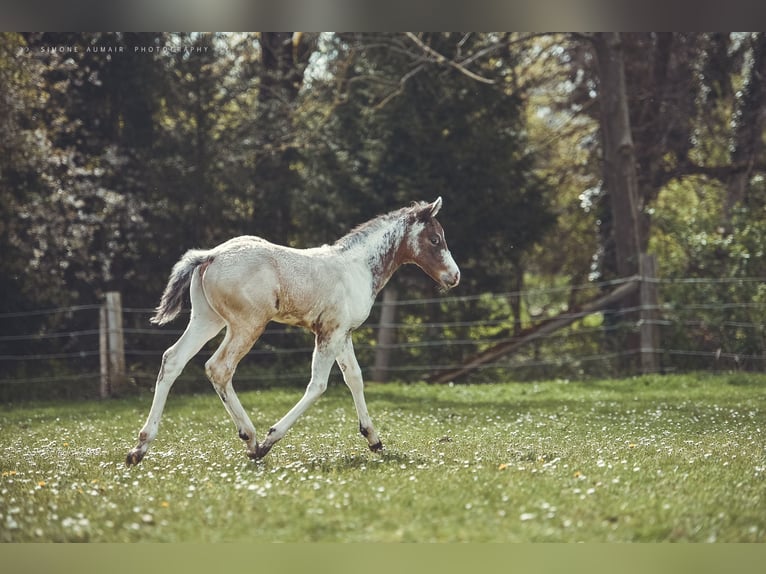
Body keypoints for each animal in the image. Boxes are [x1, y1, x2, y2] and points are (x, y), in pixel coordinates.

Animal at [126, 197, 460, 465]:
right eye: (435, 239)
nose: (454, 276)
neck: (357, 267)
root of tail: (210, 255)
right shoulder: (329, 333)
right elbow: (318, 385)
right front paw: (270, 439)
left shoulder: (343, 334)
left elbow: (355, 378)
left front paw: (373, 439)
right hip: (247, 325)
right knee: (219, 368)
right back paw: (251, 441)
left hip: (206, 320)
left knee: (172, 360)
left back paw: (140, 448)